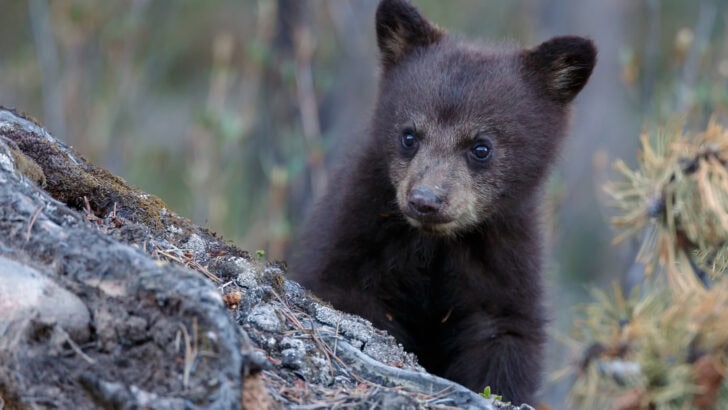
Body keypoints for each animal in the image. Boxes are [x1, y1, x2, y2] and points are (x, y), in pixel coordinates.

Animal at [290, 0, 596, 405]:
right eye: (409, 135)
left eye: (481, 147)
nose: (425, 200)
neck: (437, 247)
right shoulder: (355, 236)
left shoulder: (504, 262)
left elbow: (505, 340)